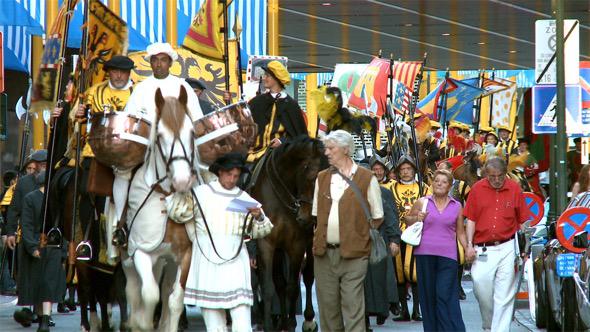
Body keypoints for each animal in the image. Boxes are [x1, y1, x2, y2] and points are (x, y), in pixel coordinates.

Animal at [122, 86, 197, 332]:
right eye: (160, 136)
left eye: (192, 133)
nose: (182, 181)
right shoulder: (141, 251)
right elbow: (149, 294)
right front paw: (141, 323)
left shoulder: (186, 255)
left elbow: (174, 300)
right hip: (129, 259)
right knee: (134, 290)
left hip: (167, 260)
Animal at [251, 136, 330, 330]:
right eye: (312, 178)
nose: (309, 218)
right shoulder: (266, 243)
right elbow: (269, 286)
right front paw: (270, 324)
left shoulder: (297, 245)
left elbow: (293, 287)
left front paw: (291, 323)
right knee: (279, 282)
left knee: (307, 276)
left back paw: (307, 320)